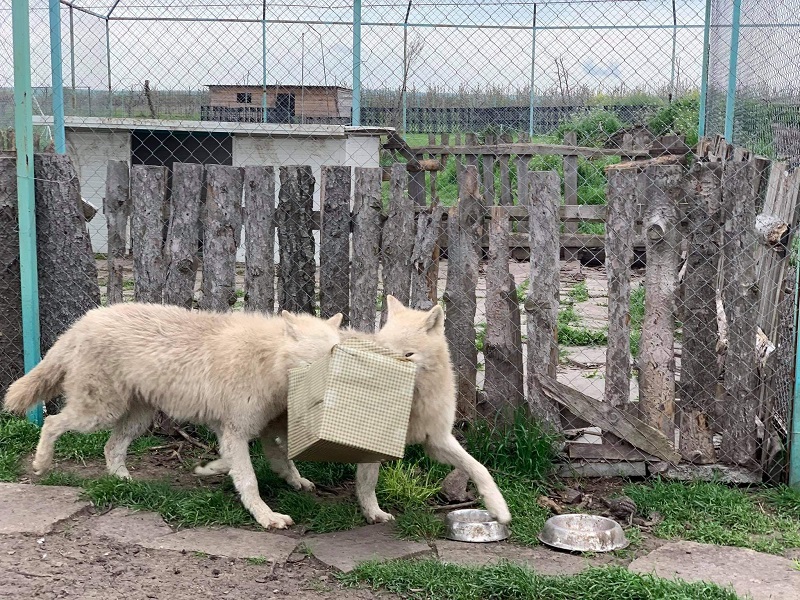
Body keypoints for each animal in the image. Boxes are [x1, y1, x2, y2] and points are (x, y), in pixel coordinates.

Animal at [5, 304, 344, 528]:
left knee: (110, 447)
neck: (268, 360)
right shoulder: (237, 431)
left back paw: (123, 481)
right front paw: (267, 517)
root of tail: (83, 321)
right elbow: (249, 480)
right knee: (52, 422)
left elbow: (280, 462)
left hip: (135, 420)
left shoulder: (261, 429)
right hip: (98, 414)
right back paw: (41, 464)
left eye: (339, 355)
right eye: (322, 359)